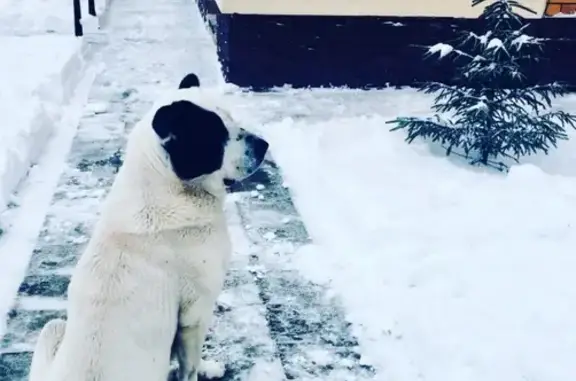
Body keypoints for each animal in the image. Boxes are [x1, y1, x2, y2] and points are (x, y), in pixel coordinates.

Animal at [28, 72, 268, 380]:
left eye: (230, 118)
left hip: (54, 327)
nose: (264, 145)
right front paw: (205, 368)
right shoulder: (195, 312)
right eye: (216, 135)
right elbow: (190, 363)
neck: (166, 185)